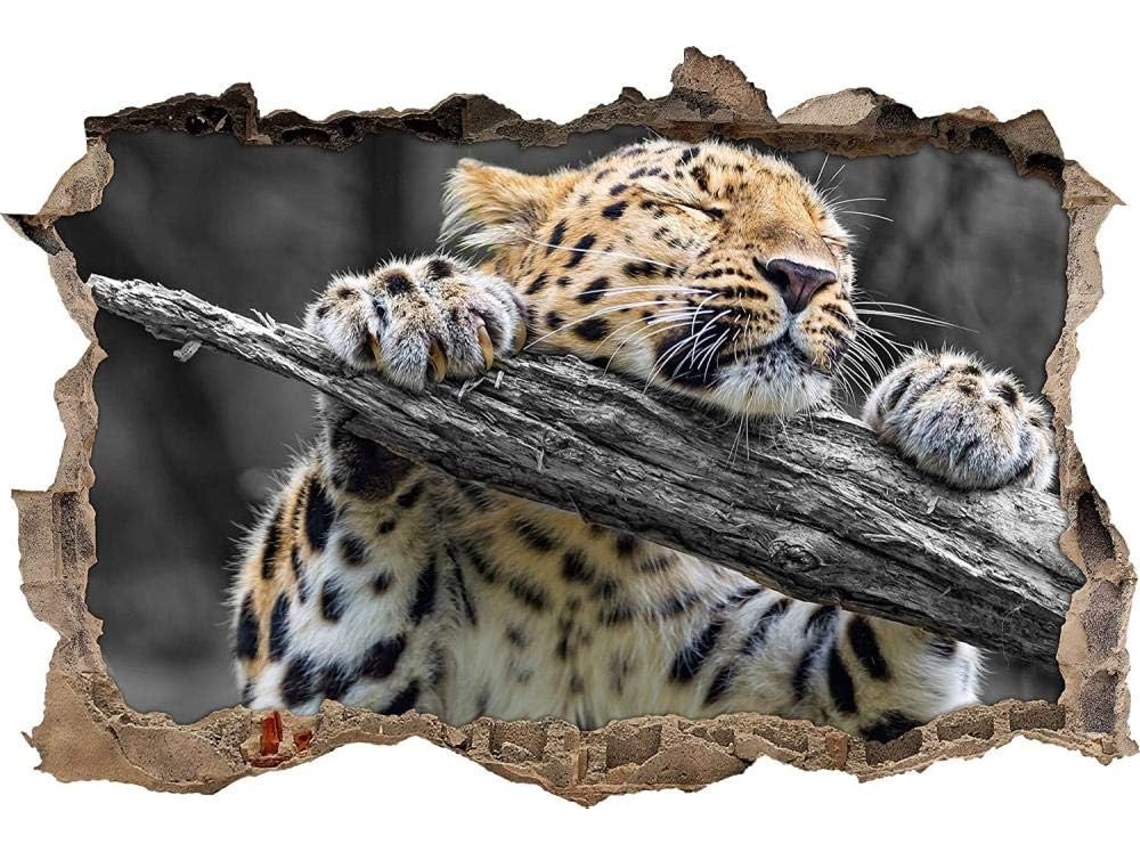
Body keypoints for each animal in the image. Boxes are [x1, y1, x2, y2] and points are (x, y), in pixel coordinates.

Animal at [230, 138, 1056, 742]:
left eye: (832, 241)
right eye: (695, 205)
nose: (805, 276)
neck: (589, 557)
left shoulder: (799, 678)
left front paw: (971, 405)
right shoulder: (315, 678)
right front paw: (415, 306)